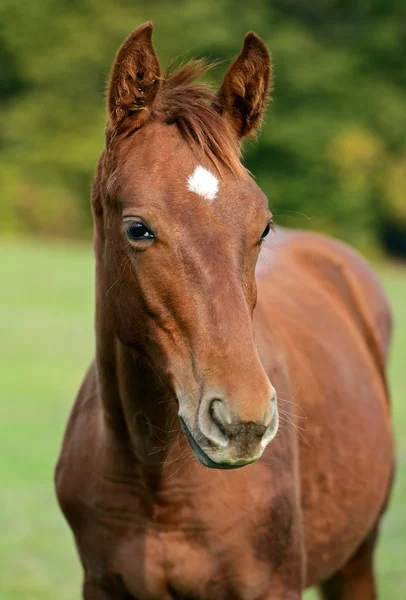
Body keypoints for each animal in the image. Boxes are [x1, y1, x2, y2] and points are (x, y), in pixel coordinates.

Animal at [54, 22, 394, 600]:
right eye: (138, 228)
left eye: (263, 226)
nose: (243, 422)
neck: (158, 481)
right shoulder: (99, 583)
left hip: (357, 560)